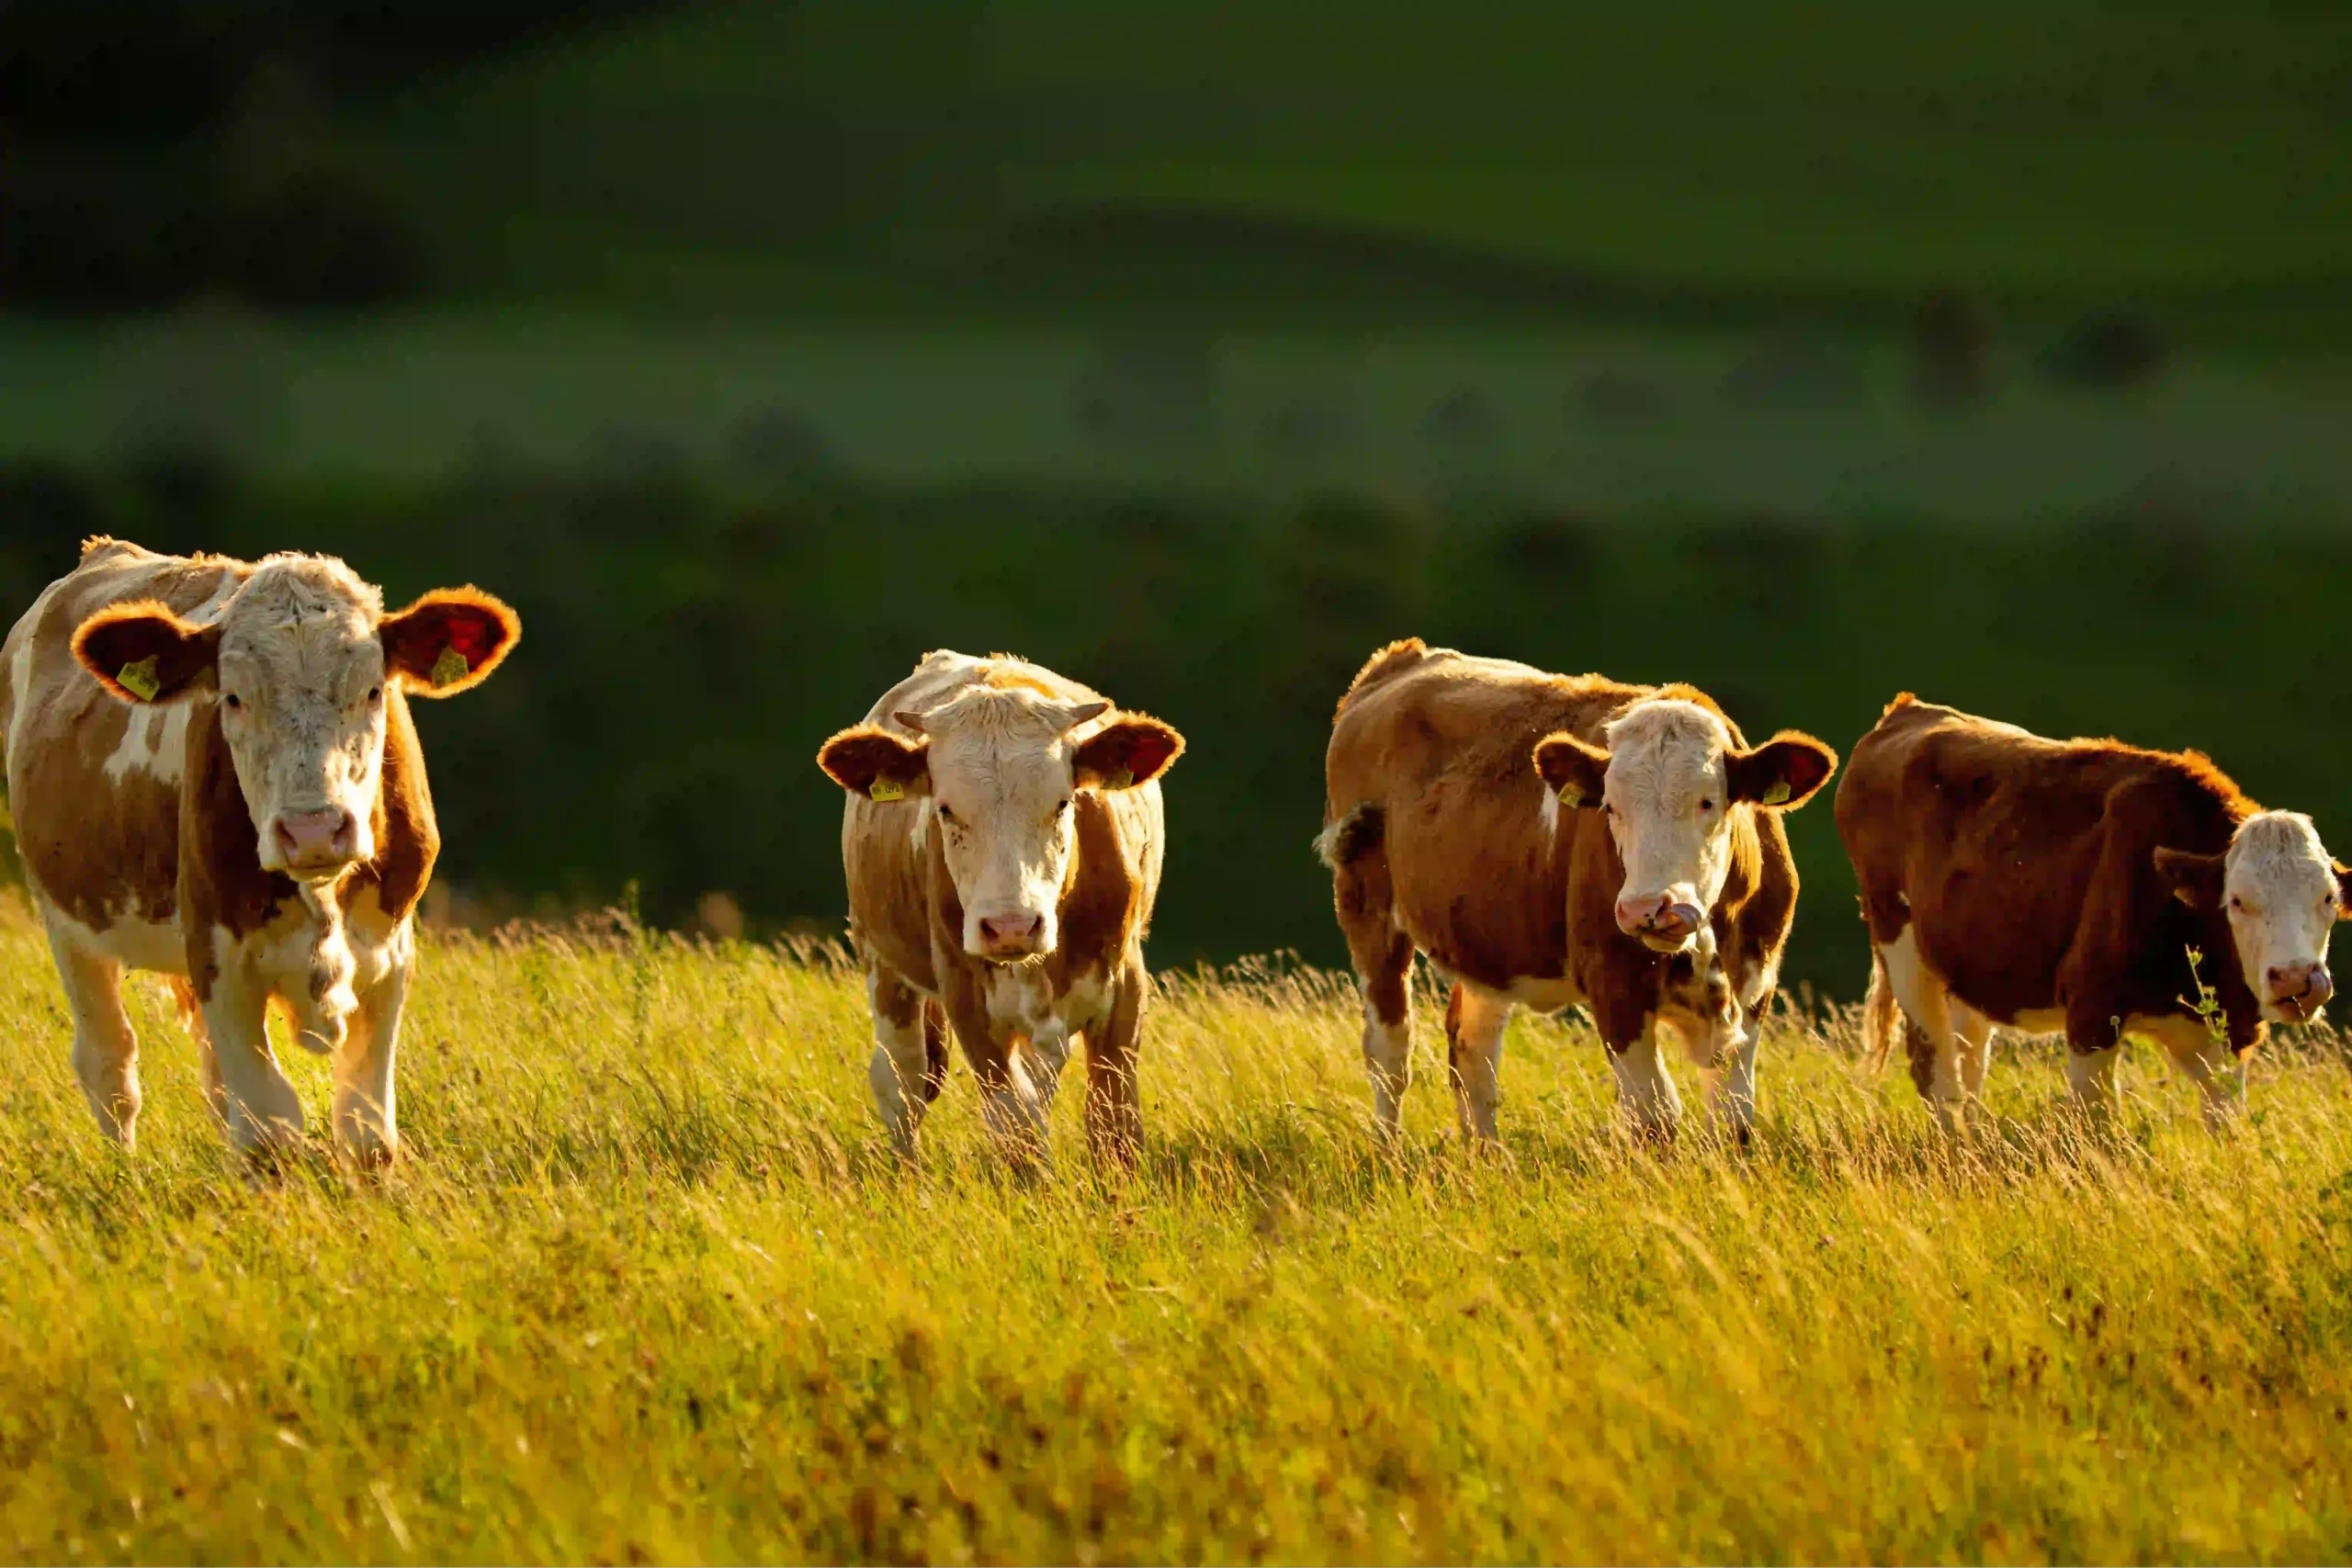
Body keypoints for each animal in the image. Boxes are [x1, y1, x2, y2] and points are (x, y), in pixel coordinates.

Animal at [0, 538, 519, 1165]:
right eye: (234, 697)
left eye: (373, 690)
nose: (314, 829)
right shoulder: (220, 960)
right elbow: (269, 1129)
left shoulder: (389, 955)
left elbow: (365, 1130)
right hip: (66, 920)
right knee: (110, 1064)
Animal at [815, 651, 1184, 1167]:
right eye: (945, 809)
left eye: (1063, 803)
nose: (1012, 927)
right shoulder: (967, 998)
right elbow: (1015, 1126)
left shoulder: (1125, 984)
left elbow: (1112, 1124)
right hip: (882, 963)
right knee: (902, 1081)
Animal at [1318, 639, 1838, 1143]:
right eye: (1611, 807)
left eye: (1708, 801)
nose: (1649, 908)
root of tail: (1401, 659)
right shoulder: (1612, 981)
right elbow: (1653, 1117)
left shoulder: (1756, 978)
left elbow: (1733, 1121)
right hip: (1365, 901)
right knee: (1390, 1051)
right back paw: (1389, 1152)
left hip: (1488, 942)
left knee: (1472, 1052)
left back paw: (1486, 1156)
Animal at [1836, 693, 2349, 1130]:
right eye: (2238, 900)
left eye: (2328, 898)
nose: (2296, 979)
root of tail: (1908, 711)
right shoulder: (2090, 1014)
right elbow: (2098, 1126)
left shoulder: (2231, 1033)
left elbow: (2224, 1121)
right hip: (1899, 942)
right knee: (1934, 1065)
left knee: (1969, 1053)